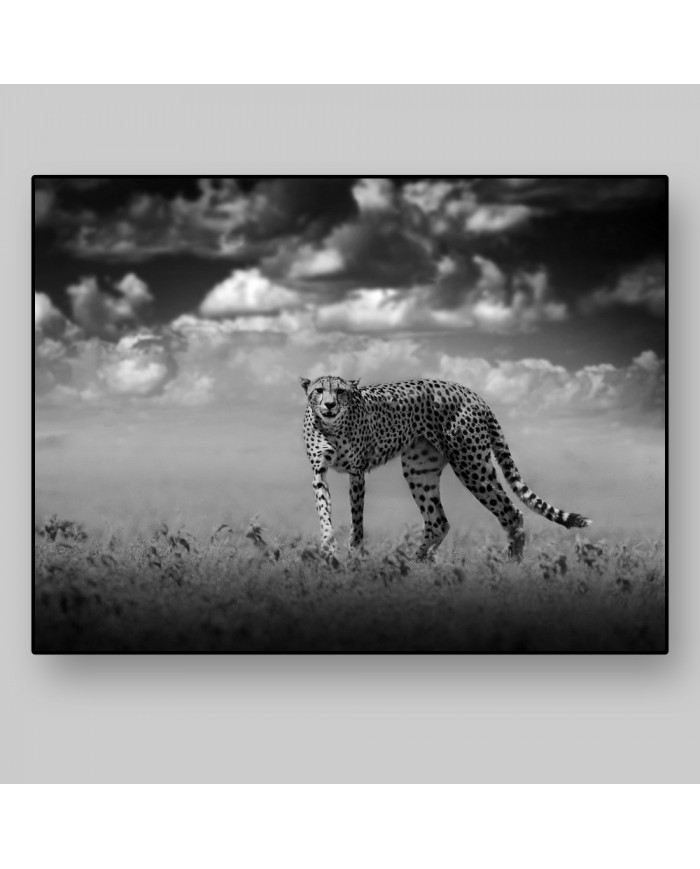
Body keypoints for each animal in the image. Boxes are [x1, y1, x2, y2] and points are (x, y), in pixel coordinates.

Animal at [300, 375, 591, 563]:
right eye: (319, 390)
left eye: (340, 391)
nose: (329, 405)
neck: (331, 426)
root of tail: (470, 392)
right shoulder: (319, 473)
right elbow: (324, 511)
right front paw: (328, 549)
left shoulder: (358, 472)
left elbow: (357, 520)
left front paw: (354, 554)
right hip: (419, 469)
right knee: (438, 522)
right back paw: (414, 563)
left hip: (470, 464)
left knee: (512, 514)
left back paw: (513, 565)